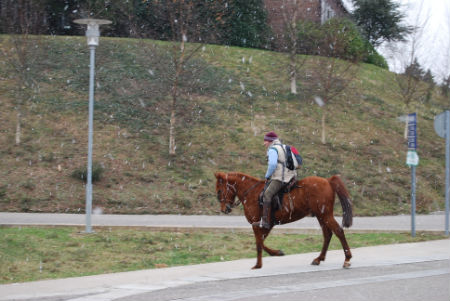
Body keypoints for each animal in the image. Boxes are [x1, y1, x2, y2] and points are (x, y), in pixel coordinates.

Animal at [213, 171, 354, 270]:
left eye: (219, 191)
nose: (224, 209)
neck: (251, 193)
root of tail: (328, 181)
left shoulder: (259, 224)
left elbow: (259, 243)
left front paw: (258, 264)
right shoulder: (265, 225)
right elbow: (261, 242)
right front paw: (275, 253)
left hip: (325, 214)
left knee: (338, 231)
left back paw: (347, 259)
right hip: (321, 215)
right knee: (327, 234)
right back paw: (319, 258)